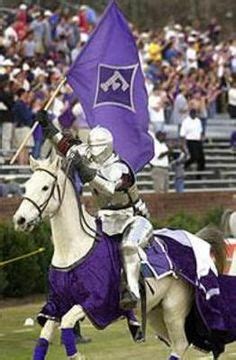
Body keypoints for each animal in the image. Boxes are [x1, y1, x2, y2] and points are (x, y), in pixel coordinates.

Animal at [13, 155, 227, 360]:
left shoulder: (96, 303)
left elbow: (67, 323)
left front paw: (77, 355)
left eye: (45, 187)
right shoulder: (56, 306)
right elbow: (43, 339)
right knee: (178, 345)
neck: (74, 248)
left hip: (173, 309)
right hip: (155, 313)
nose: (20, 220)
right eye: (27, 186)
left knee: (181, 344)